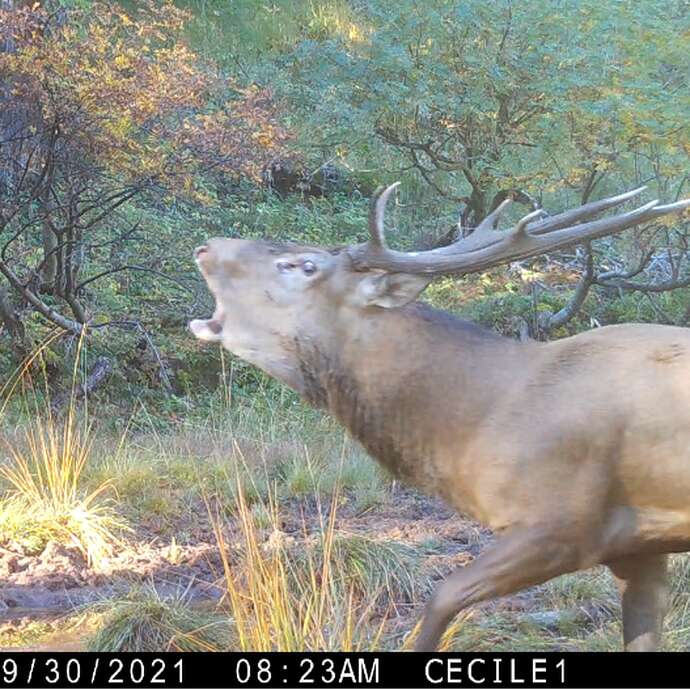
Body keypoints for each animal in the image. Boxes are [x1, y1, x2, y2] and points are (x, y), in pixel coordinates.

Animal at [189, 184, 690, 651]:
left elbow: (442, 596)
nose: (207, 246)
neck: (478, 422)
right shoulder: (640, 550)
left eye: (303, 264)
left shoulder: (563, 523)